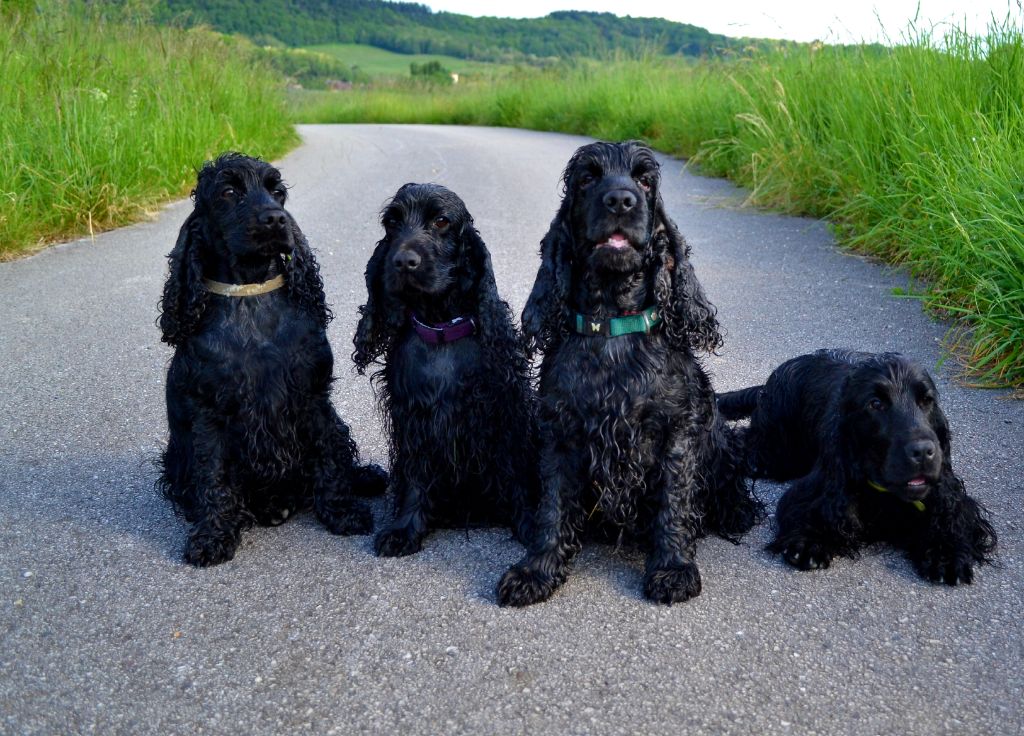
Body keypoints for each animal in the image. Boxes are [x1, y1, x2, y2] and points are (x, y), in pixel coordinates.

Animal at [155, 152, 385, 569]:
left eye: (278, 192)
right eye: (229, 192)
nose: (276, 219)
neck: (251, 296)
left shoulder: (312, 399)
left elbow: (329, 461)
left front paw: (343, 512)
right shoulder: (208, 414)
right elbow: (213, 477)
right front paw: (212, 536)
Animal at [352, 184, 540, 556]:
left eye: (441, 221)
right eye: (391, 222)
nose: (403, 262)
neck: (440, 327)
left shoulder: (503, 413)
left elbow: (514, 474)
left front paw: (528, 522)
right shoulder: (413, 418)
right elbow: (415, 477)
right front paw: (405, 529)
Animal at [495, 141, 761, 605]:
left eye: (645, 180)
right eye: (587, 178)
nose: (621, 200)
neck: (613, 324)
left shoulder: (677, 430)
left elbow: (674, 500)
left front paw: (673, 568)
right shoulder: (560, 431)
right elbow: (553, 507)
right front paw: (536, 570)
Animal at [716, 348, 995, 585]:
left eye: (926, 401)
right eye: (875, 404)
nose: (924, 452)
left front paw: (945, 554)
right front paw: (811, 540)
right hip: (775, 451)